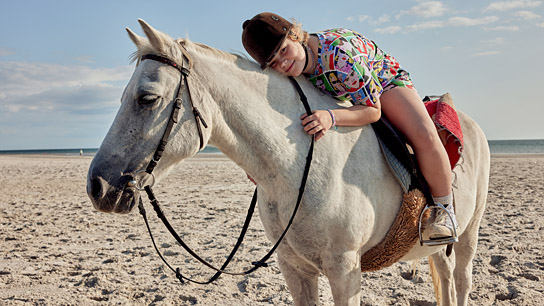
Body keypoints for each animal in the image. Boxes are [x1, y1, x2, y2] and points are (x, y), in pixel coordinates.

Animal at [87, 20, 490, 304]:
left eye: (147, 98)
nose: (97, 186)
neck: (300, 166)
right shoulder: (294, 267)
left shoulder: (345, 270)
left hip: (467, 234)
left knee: (461, 280)